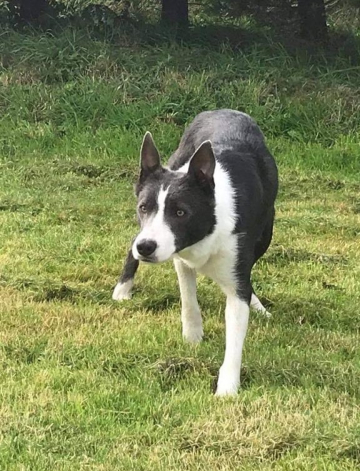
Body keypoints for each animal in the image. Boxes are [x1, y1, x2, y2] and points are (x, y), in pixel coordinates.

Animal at [112, 110, 278, 398]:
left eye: (181, 212)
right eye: (143, 207)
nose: (147, 248)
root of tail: (223, 109)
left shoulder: (235, 278)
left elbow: (236, 328)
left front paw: (227, 387)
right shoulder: (178, 253)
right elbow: (188, 298)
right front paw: (193, 336)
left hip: (266, 233)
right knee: (133, 241)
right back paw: (123, 288)